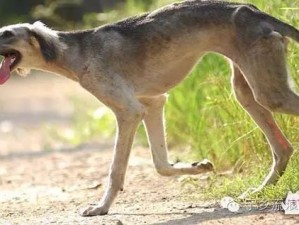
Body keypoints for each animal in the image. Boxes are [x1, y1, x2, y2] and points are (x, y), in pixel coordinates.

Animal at [0, 0, 298, 216]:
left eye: (6, 33)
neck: (75, 51)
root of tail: (255, 11)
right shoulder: (153, 103)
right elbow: (161, 164)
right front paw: (198, 167)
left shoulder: (129, 112)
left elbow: (116, 170)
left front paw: (101, 208)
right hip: (247, 92)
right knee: (283, 148)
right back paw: (260, 190)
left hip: (270, 93)